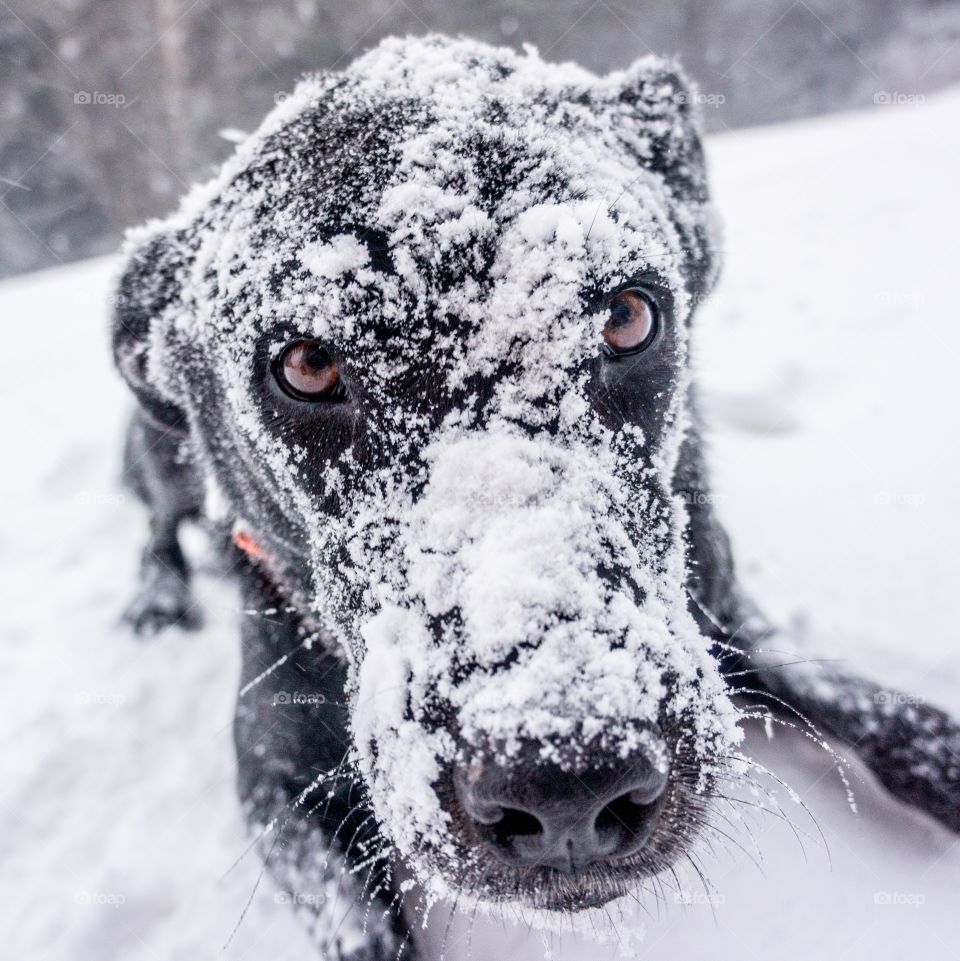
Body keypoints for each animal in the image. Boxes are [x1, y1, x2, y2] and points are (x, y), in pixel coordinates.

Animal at [110, 33, 960, 960]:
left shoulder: (725, 614)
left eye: (628, 315)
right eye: (306, 364)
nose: (565, 779)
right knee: (157, 522)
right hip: (160, 451)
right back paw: (155, 599)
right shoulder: (274, 776)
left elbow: (879, 708)